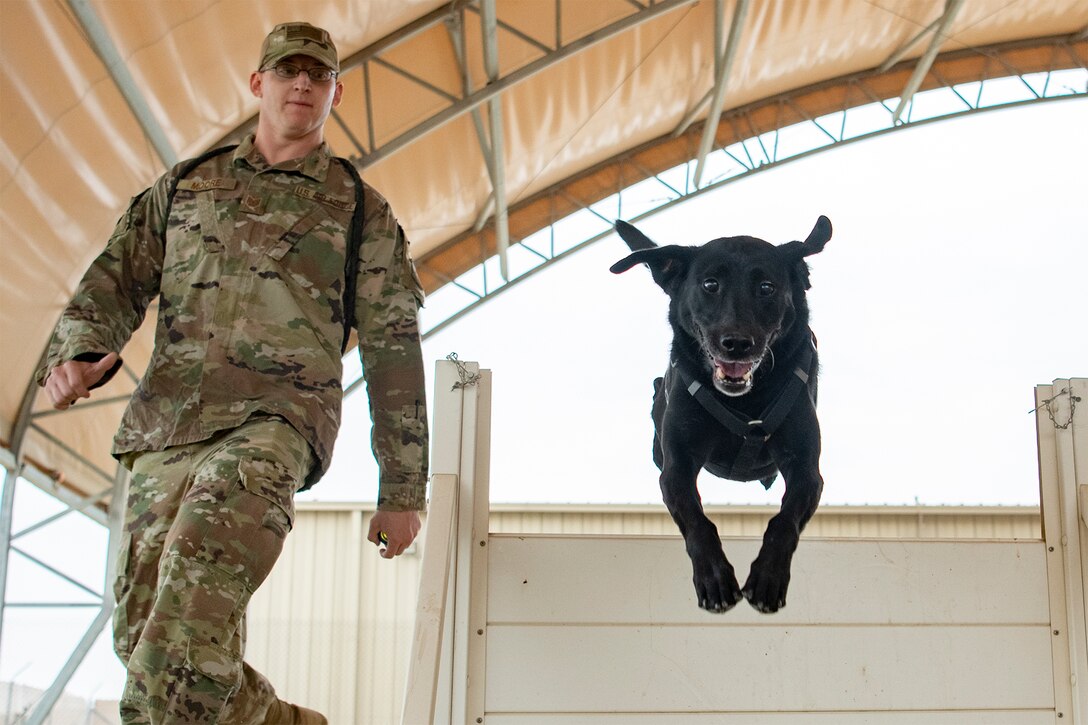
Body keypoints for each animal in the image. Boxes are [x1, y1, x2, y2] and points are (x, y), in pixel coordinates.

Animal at [613, 214, 831, 609]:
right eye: (710, 284)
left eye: (766, 287)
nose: (737, 344)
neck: (743, 401)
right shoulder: (676, 468)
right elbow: (698, 521)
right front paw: (714, 580)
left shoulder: (807, 470)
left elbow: (784, 521)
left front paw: (767, 579)